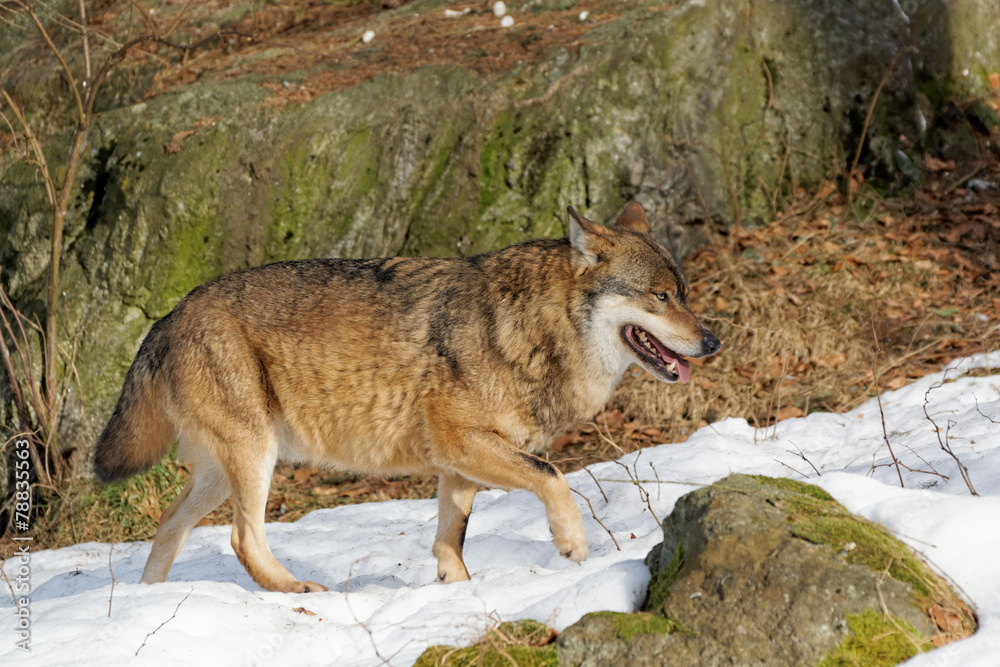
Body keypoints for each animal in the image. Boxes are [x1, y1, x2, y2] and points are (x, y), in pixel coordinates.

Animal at [93, 202, 721, 593]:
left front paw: (458, 595)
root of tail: (168, 316)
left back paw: (143, 606)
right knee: (243, 539)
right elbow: (553, 476)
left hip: (222, 475)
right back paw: (300, 590)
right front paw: (571, 544)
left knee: (168, 527)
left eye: (685, 293)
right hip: (254, 460)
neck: (530, 328)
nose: (712, 342)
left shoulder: (458, 466)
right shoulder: (465, 445)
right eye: (660, 297)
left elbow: (452, 540)